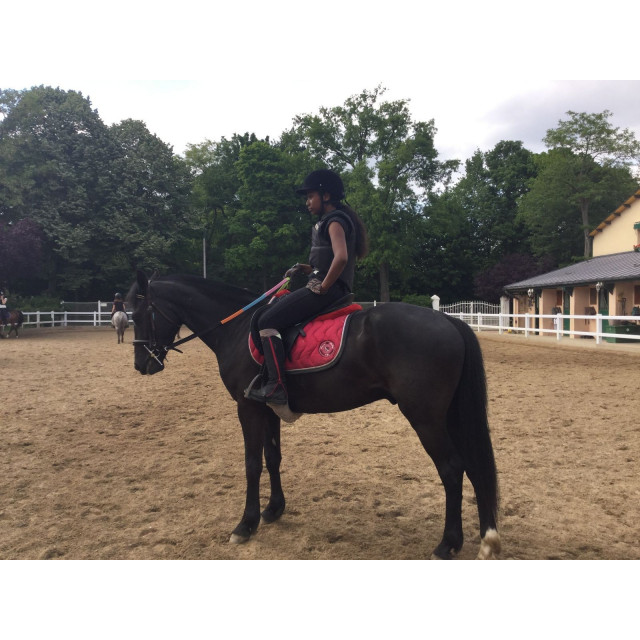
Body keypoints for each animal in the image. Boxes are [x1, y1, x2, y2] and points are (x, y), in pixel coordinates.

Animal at [128, 271, 501, 559]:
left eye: (140, 313)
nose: (142, 364)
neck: (237, 329)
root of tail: (448, 320)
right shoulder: (268, 407)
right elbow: (272, 457)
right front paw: (273, 509)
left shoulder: (247, 408)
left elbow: (251, 464)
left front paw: (245, 524)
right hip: (447, 416)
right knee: (471, 467)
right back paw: (482, 539)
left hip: (425, 418)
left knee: (451, 469)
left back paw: (447, 544)